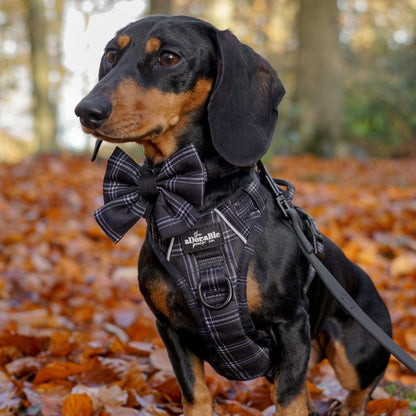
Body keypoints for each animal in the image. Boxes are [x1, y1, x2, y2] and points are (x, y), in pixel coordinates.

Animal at [76, 14, 392, 414]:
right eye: (111, 55)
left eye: (168, 57)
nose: (86, 110)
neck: (197, 202)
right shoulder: (170, 328)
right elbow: (196, 394)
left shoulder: (290, 323)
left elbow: (288, 399)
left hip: (355, 353)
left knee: (360, 387)